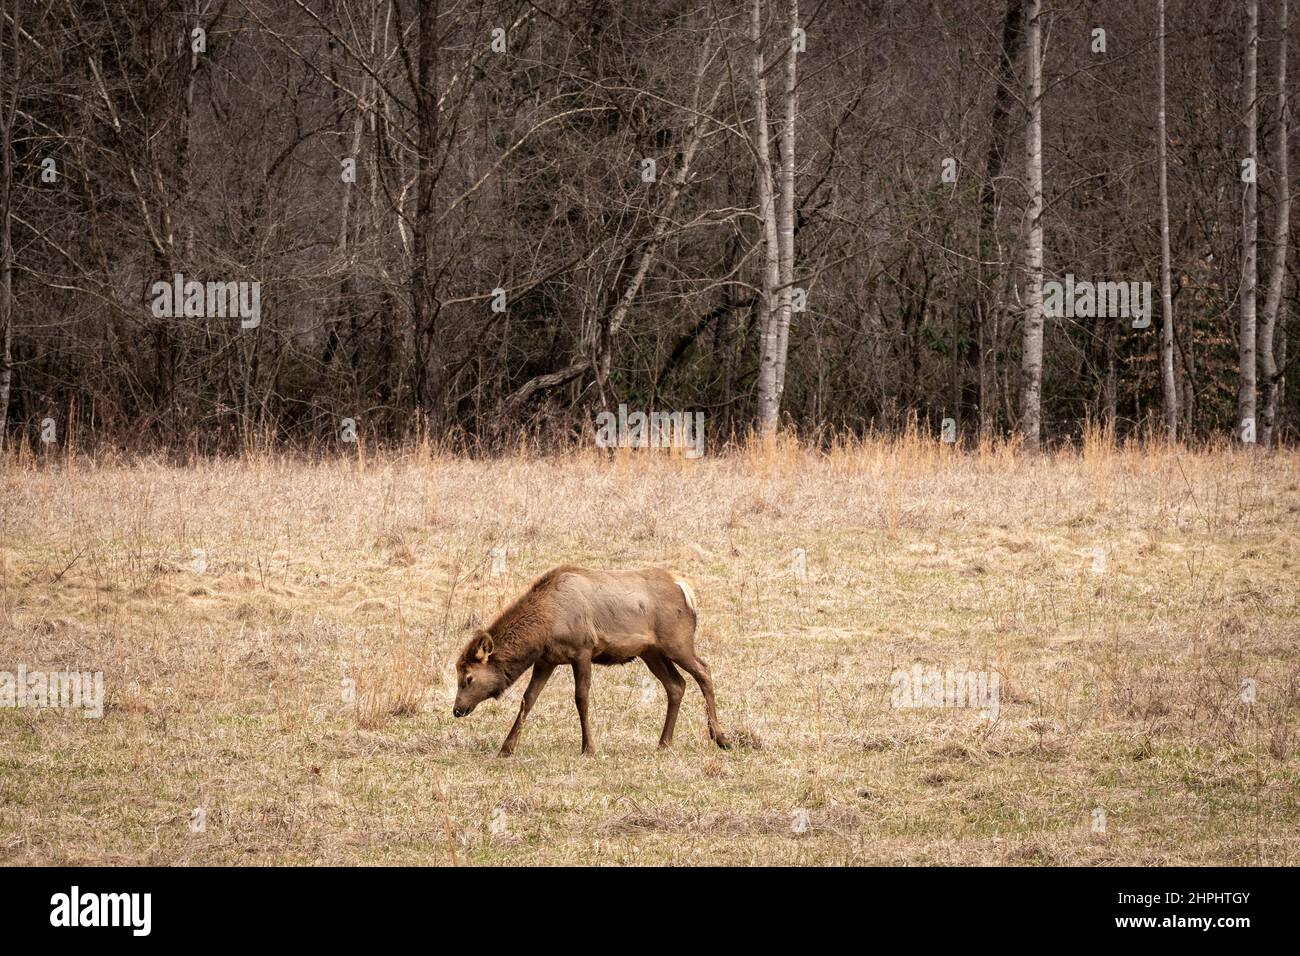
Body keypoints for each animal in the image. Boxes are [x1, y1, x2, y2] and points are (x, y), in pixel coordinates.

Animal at [452, 564, 728, 759]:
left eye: (468, 677)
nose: (457, 709)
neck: (545, 629)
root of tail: (685, 587)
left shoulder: (583, 649)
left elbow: (581, 697)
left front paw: (588, 747)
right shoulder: (546, 660)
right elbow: (528, 699)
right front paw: (506, 748)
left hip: (677, 642)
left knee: (704, 671)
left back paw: (720, 737)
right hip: (651, 652)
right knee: (676, 685)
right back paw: (664, 743)